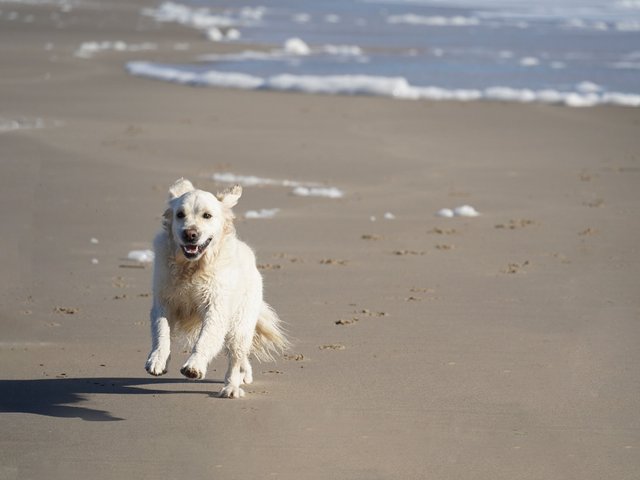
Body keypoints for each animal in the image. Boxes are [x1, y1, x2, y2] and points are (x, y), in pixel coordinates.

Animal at [146, 178, 288, 400]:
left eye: (207, 215)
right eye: (180, 214)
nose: (190, 234)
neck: (192, 267)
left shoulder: (216, 308)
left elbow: (205, 339)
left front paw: (194, 366)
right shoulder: (163, 302)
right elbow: (162, 331)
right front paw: (158, 360)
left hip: (240, 326)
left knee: (235, 358)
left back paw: (231, 387)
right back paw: (244, 375)